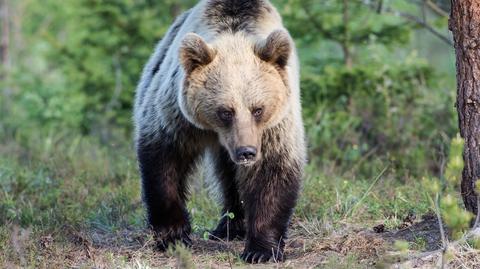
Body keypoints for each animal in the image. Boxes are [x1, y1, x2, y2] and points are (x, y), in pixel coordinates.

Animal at [133, 0, 306, 262]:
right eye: (226, 111)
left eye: (258, 109)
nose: (246, 152)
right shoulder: (178, 117)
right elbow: (165, 159)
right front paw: (173, 235)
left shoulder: (273, 128)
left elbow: (272, 171)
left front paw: (260, 250)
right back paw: (228, 227)